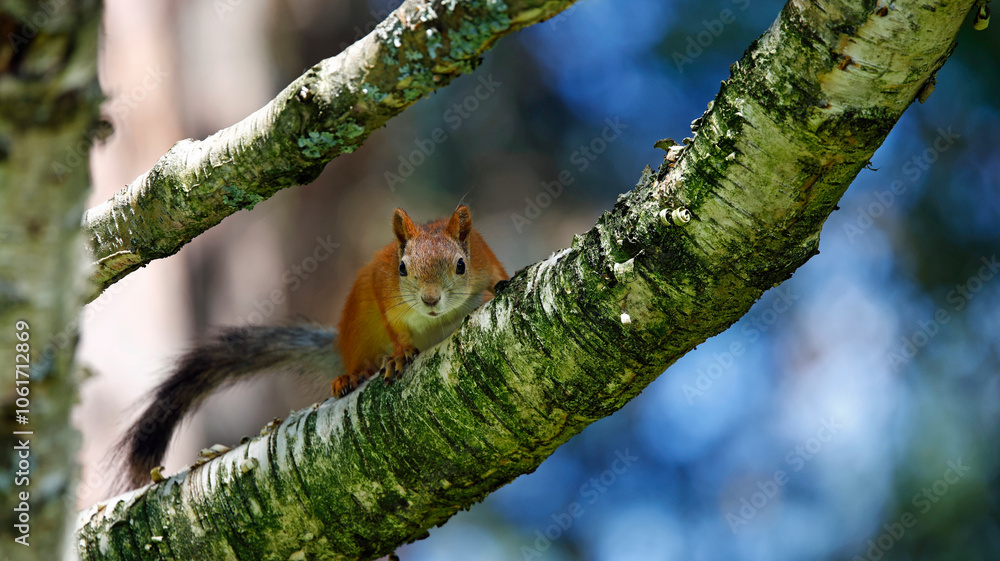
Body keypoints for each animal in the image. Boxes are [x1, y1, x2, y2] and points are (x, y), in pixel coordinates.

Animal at [117, 205, 507, 489]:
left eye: (461, 265)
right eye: (402, 268)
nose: (430, 300)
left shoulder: (486, 260)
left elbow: (497, 278)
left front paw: (499, 288)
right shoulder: (384, 295)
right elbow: (396, 332)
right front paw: (399, 356)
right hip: (359, 328)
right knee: (357, 360)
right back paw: (353, 374)